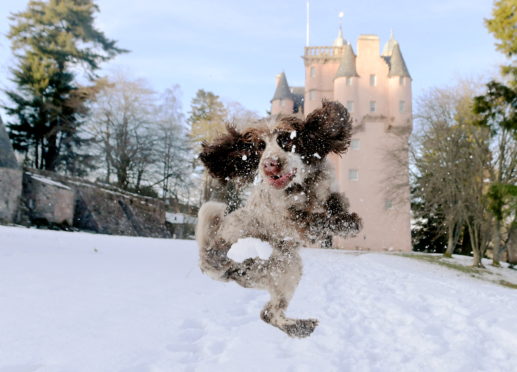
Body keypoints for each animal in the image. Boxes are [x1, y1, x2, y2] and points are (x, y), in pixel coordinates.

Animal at [196, 100, 360, 338]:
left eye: (287, 139)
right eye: (259, 147)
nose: (270, 164)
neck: (302, 186)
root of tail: (208, 258)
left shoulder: (328, 187)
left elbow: (335, 203)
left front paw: (349, 222)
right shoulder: (289, 220)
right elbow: (312, 222)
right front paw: (336, 223)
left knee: (268, 312)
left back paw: (300, 326)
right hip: (283, 266)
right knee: (268, 314)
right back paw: (300, 328)